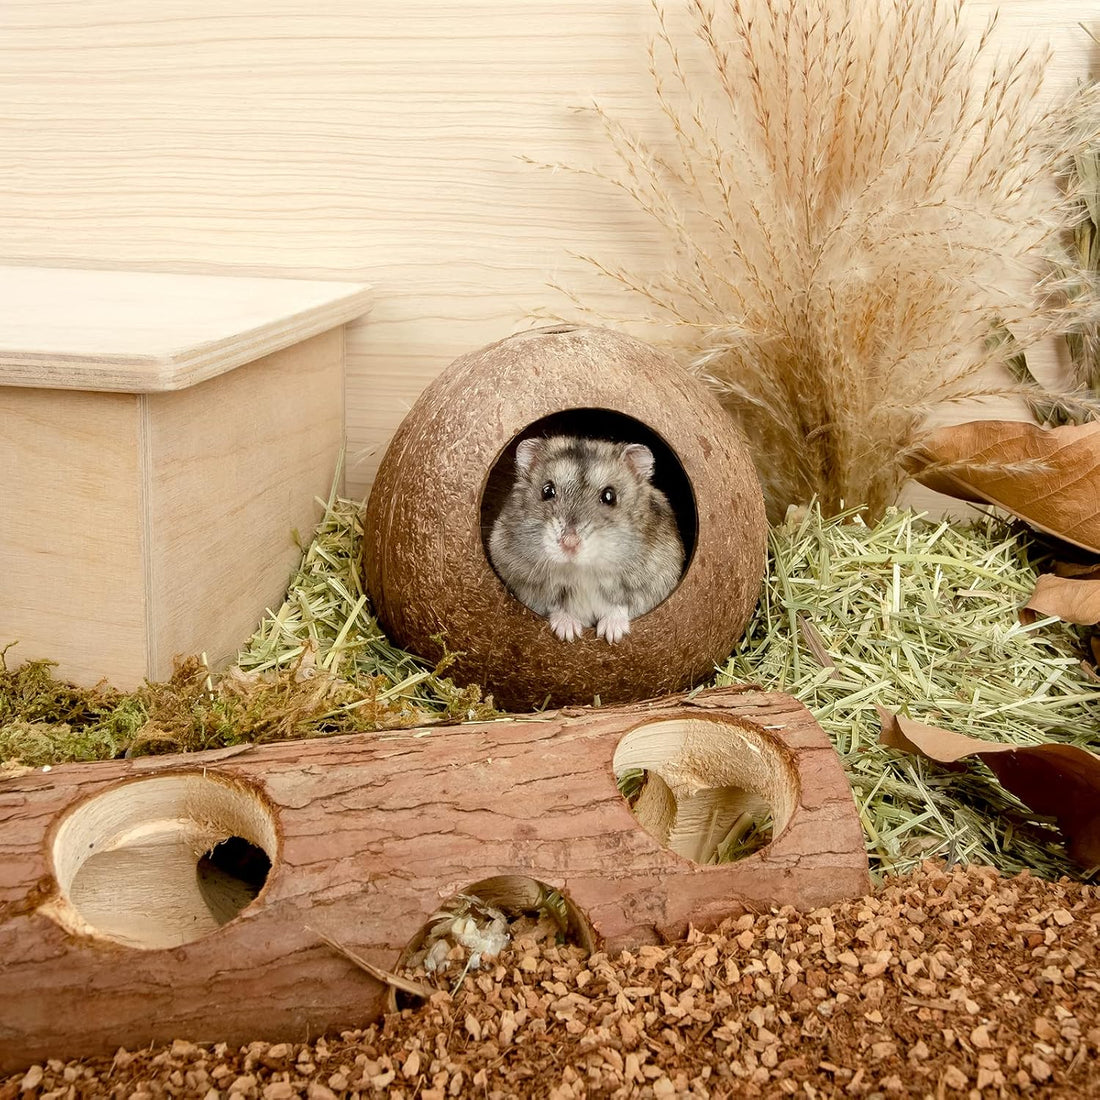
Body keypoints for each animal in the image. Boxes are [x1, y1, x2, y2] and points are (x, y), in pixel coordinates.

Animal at [488, 435, 685, 643]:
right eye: (547, 491)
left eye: (610, 496)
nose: (569, 543)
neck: (582, 570)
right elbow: (555, 605)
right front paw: (568, 634)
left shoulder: (654, 581)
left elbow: (622, 605)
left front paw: (612, 635)